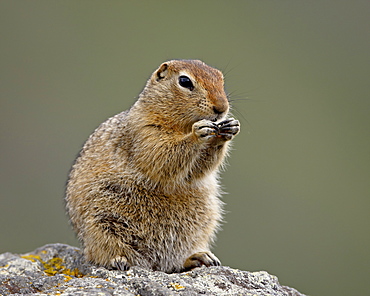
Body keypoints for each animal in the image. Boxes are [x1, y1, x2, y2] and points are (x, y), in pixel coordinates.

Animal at [65, 58, 240, 272]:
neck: (179, 124)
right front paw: (198, 132)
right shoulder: (144, 131)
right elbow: (161, 155)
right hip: (101, 224)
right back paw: (119, 260)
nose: (221, 107)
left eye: (221, 79)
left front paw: (228, 129)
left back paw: (199, 257)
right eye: (185, 81)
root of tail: (154, 264)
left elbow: (197, 170)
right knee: (102, 252)